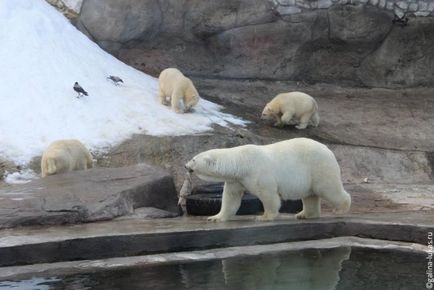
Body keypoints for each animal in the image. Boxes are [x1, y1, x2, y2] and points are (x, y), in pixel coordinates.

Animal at [185, 138, 350, 222]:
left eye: (193, 159)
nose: (186, 166)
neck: (241, 161)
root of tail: (328, 149)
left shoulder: (258, 172)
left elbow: (268, 194)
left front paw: (264, 216)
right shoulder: (237, 180)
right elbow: (230, 199)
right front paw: (214, 217)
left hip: (319, 166)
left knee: (328, 188)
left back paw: (341, 208)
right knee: (310, 195)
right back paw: (304, 214)